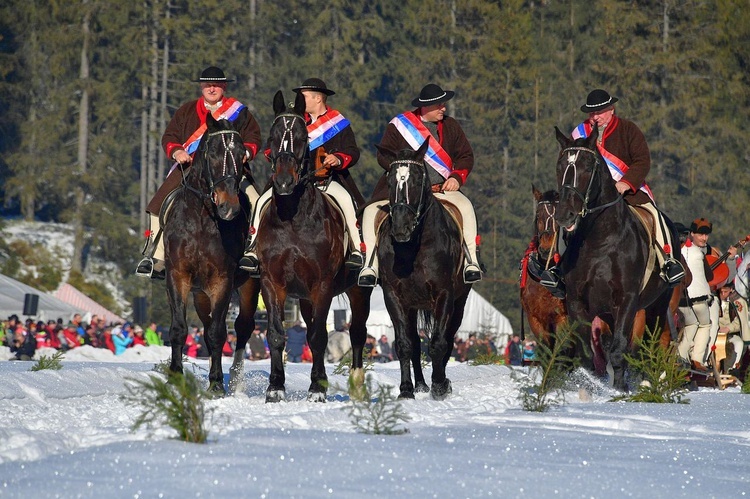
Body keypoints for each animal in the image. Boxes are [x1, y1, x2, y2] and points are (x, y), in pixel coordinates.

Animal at [164, 112, 262, 394]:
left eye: (241, 154)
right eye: (214, 153)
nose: (229, 207)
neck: (201, 218)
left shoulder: (222, 281)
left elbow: (219, 331)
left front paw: (217, 383)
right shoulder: (178, 276)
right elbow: (180, 328)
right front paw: (174, 377)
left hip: (250, 286)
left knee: (242, 327)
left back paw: (235, 379)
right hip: (200, 294)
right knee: (207, 325)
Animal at [258, 89, 374, 402]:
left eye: (302, 137)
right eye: (272, 137)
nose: (284, 182)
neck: (293, 218)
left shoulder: (321, 285)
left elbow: (320, 337)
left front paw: (317, 390)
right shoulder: (272, 282)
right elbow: (276, 334)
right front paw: (275, 388)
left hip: (359, 291)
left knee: (357, 333)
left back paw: (356, 385)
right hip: (306, 299)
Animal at [376, 141, 476, 402]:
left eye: (416, 181)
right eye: (389, 182)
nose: (400, 228)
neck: (413, 248)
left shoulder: (445, 295)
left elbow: (439, 343)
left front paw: (440, 386)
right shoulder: (394, 297)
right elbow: (404, 344)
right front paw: (405, 390)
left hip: (459, 302)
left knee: (448, 338)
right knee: (414, 342)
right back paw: (420, 384)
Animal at [552, 125, 676, 390]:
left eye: (588, 166)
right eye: (559, 166)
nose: (565, 215)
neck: (601, 241)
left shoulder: (626, 299)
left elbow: (619, 349)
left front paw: (619, 389)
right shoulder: (577, 300)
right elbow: (588, 352)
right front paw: (593, 387)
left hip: (658, 306)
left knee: (649, 345)